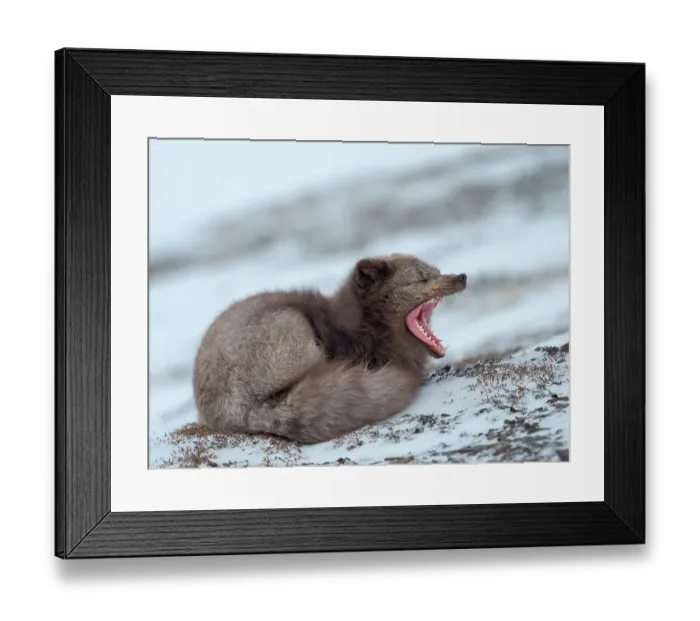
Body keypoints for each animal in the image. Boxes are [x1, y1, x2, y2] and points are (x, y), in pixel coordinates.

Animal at [193, 253, 467, 444]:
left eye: (436, 271)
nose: (462, 277)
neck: (358, 328)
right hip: (292, 325)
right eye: (421, 279)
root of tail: (239, 413)